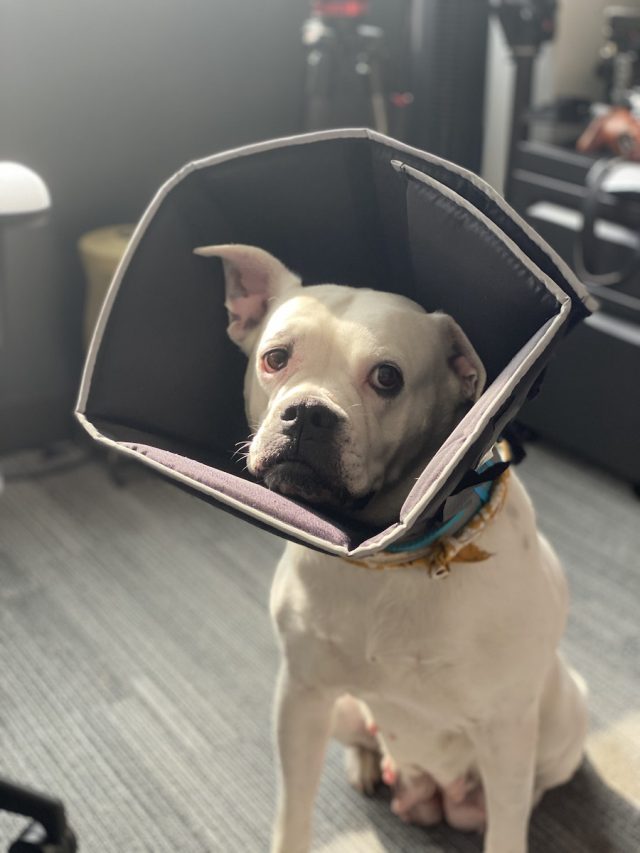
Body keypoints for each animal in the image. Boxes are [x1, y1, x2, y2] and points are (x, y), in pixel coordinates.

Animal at [196, 241, 592, 852]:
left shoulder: (506, 730)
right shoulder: (301, 696)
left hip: (562, 720)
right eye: (275, 358)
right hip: (336, 709)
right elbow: (293, 812)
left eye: (387, 377)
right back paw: (366, 766)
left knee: (534, 784)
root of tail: (427, 787)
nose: (308, 413)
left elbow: (508, 827)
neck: (393, 561)